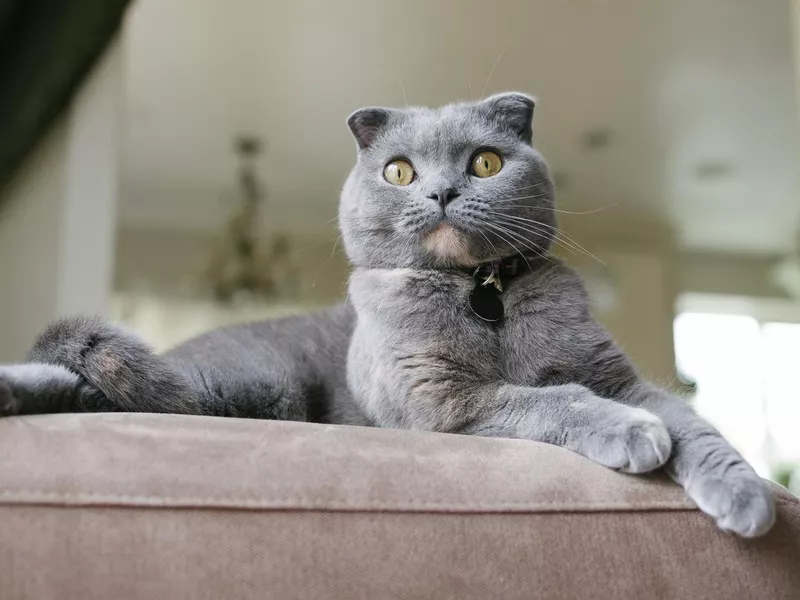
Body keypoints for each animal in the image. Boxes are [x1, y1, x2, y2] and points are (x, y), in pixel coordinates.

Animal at [0, 94, 776, 540]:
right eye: (400, 171)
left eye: (486, 162)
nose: (440, 191)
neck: (481, 293)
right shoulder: (440, 398)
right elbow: (550, 397)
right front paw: (633, 433)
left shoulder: (619, 376)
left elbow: (694, 425)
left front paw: (745, 496)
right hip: (252, 384)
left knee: (96, 392)